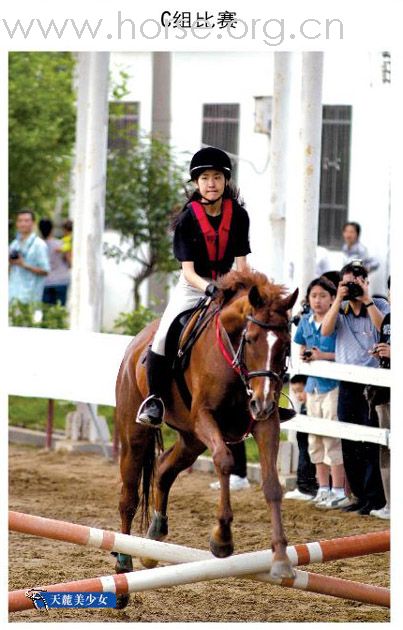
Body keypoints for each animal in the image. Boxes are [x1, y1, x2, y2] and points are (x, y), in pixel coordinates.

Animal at [115, 270, 298, 608]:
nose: (264, 403)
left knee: (164, 469)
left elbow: (272, 484)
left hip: (191, 439)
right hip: (137, 434)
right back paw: (122, 567)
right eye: (250, 340)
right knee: (129, 497)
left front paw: (280, 558)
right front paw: (222, 540)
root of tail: (136, 342)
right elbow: (225, 461)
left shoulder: (266, 424)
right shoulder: (205, 418)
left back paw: (155, 537)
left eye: (286, 345)